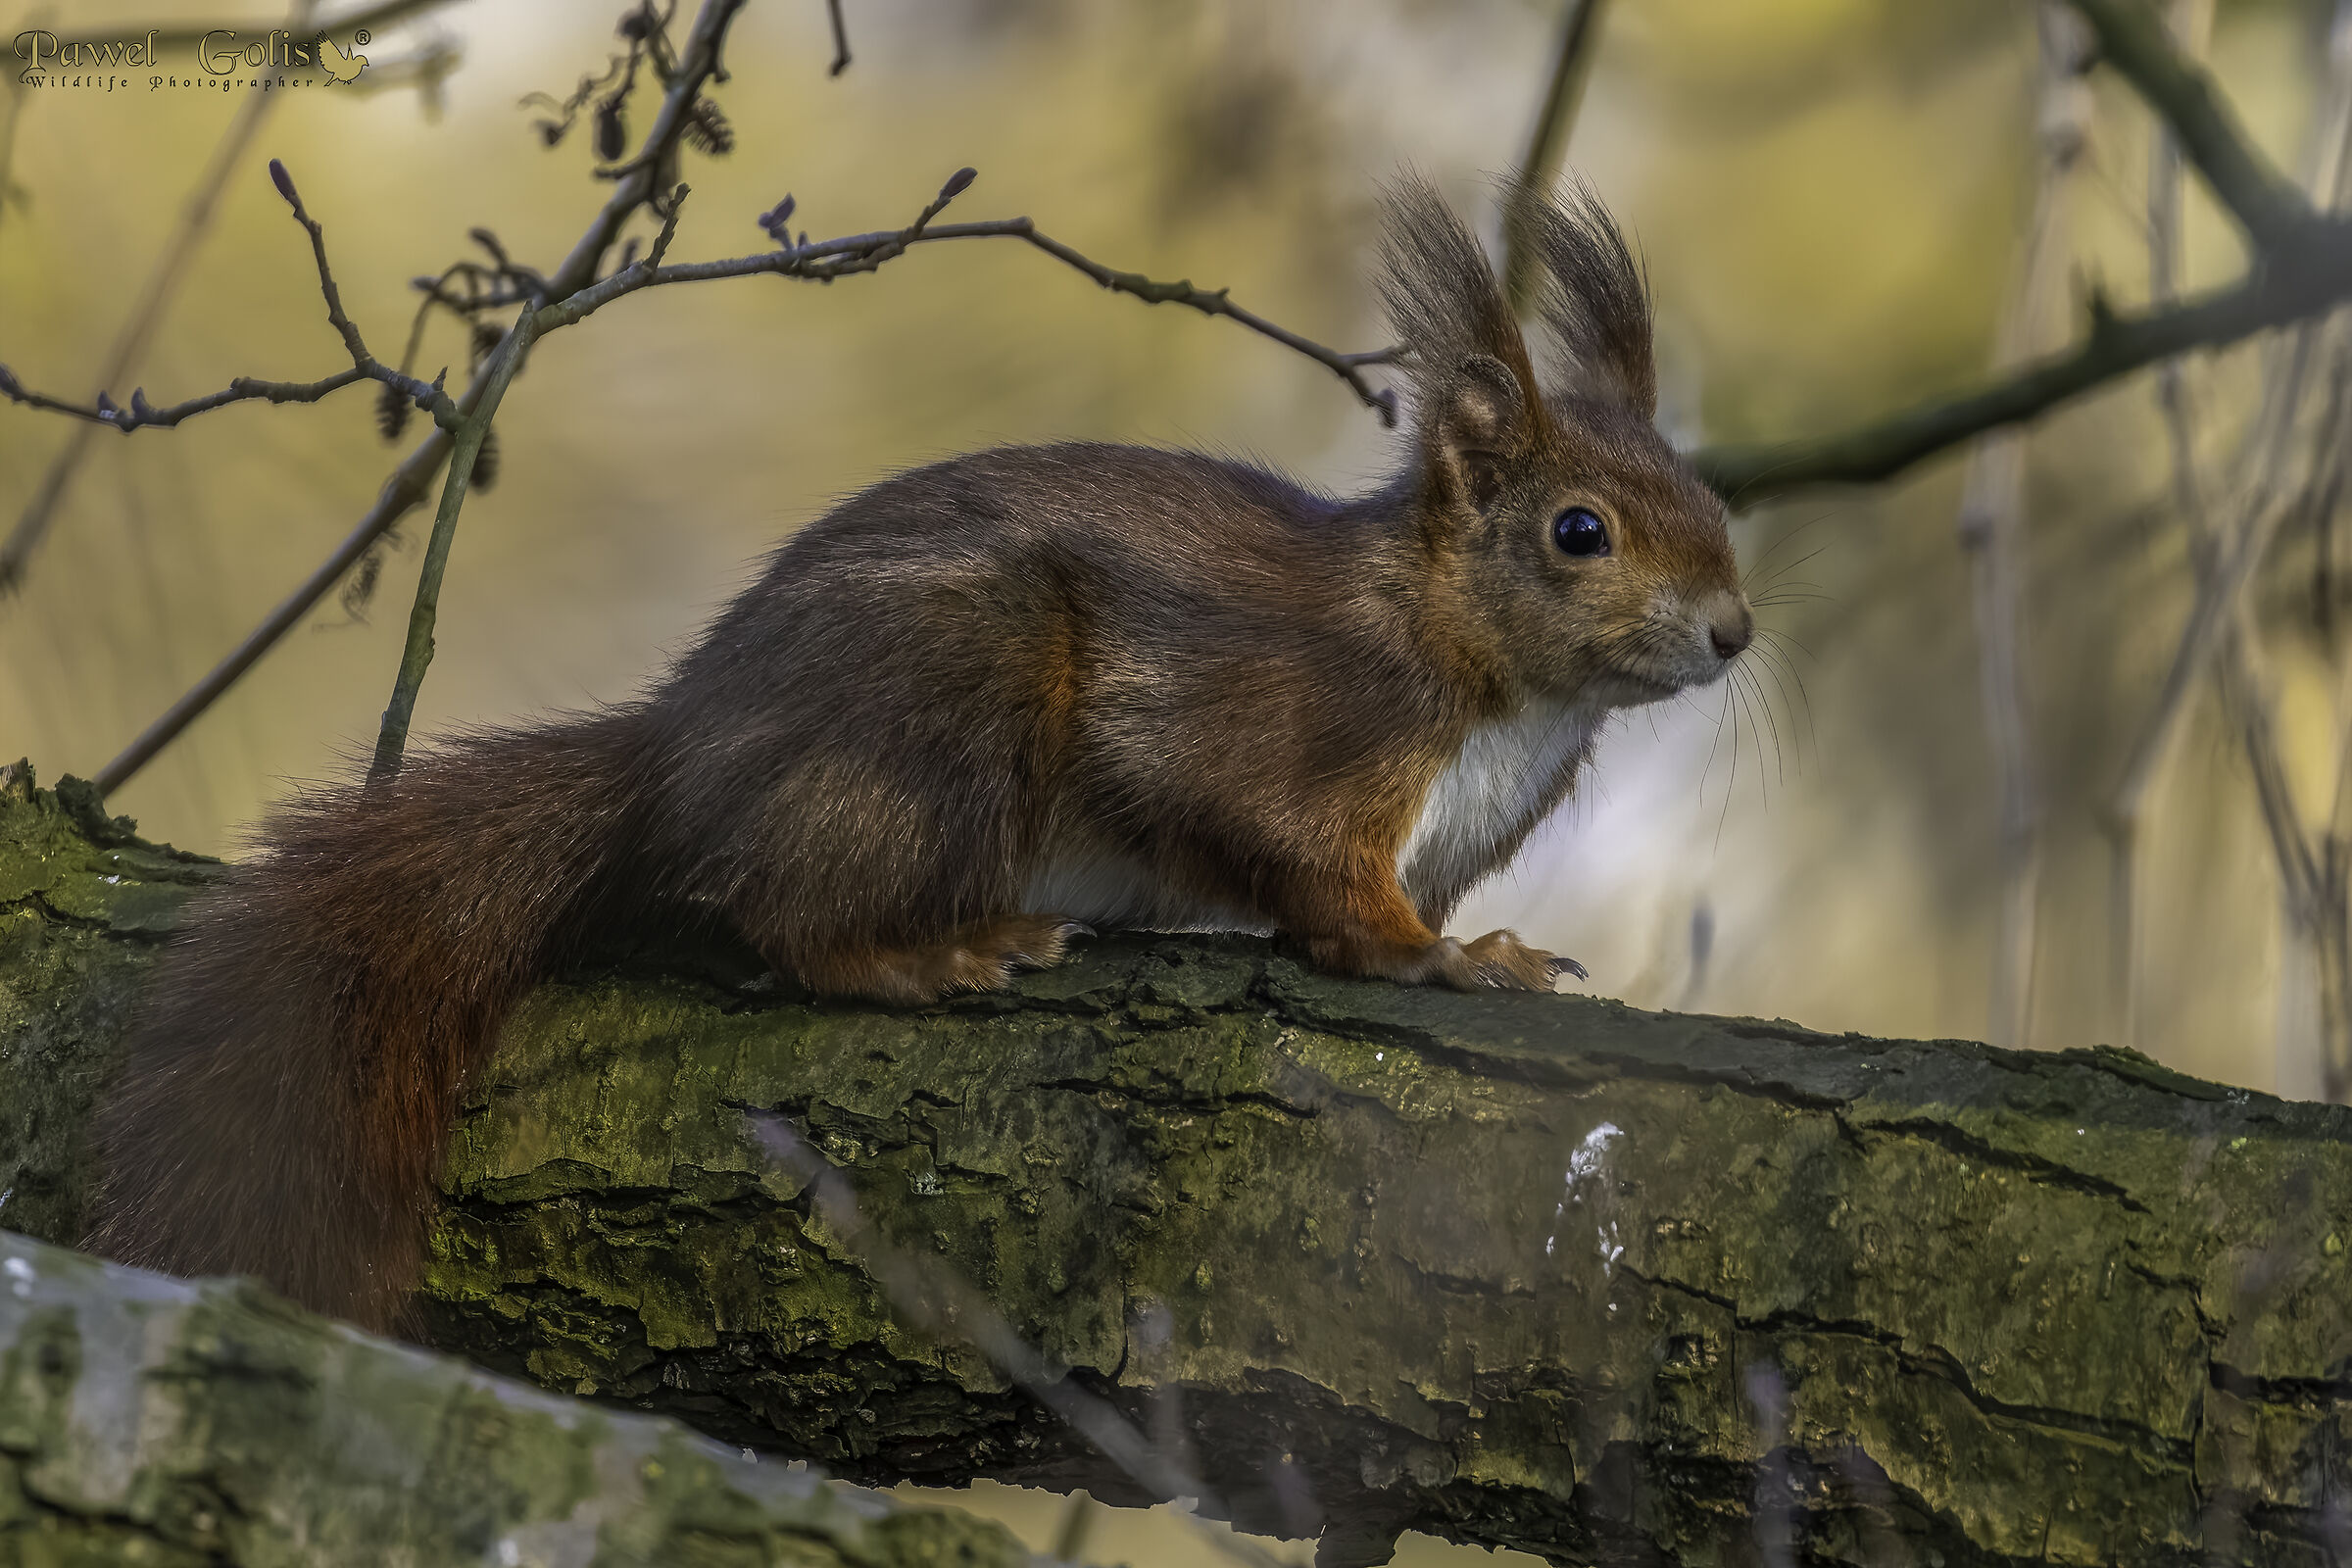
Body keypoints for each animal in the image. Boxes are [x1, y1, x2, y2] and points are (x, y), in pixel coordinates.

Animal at [87, 176, 1749, 1332]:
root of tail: (682, 752)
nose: (1735, 630)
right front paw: (1451, 960)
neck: (1500, 687)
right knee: (785, 913)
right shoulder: (1291, 732)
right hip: (946, 709)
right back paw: (930, 953)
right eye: (1579, 532)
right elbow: (1309, 879)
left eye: (1709, 496)